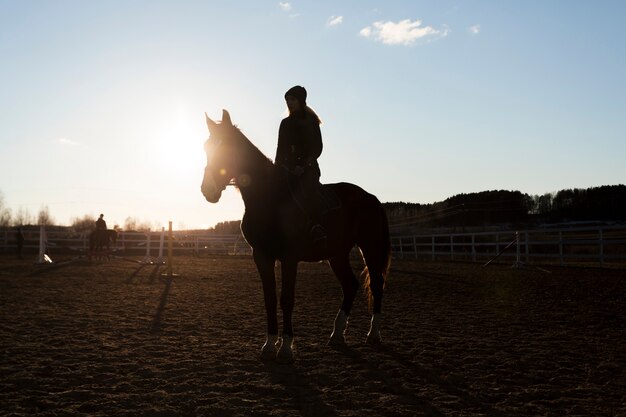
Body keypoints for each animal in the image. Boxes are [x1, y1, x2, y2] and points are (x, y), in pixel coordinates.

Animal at [200, 109, 388, 360]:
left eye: (228, 147)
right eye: (207, 147)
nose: (208, 190)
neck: (269, 198)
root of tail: (371, 198)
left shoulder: (289, 257)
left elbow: (286, 299)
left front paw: (286, 347)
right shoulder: (261, 255)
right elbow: (270, 299)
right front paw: (270, 345)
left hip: (371, 246)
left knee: (376, 284)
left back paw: (373, 334)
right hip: (337, 254)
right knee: (350, 285)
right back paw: (337, 334)